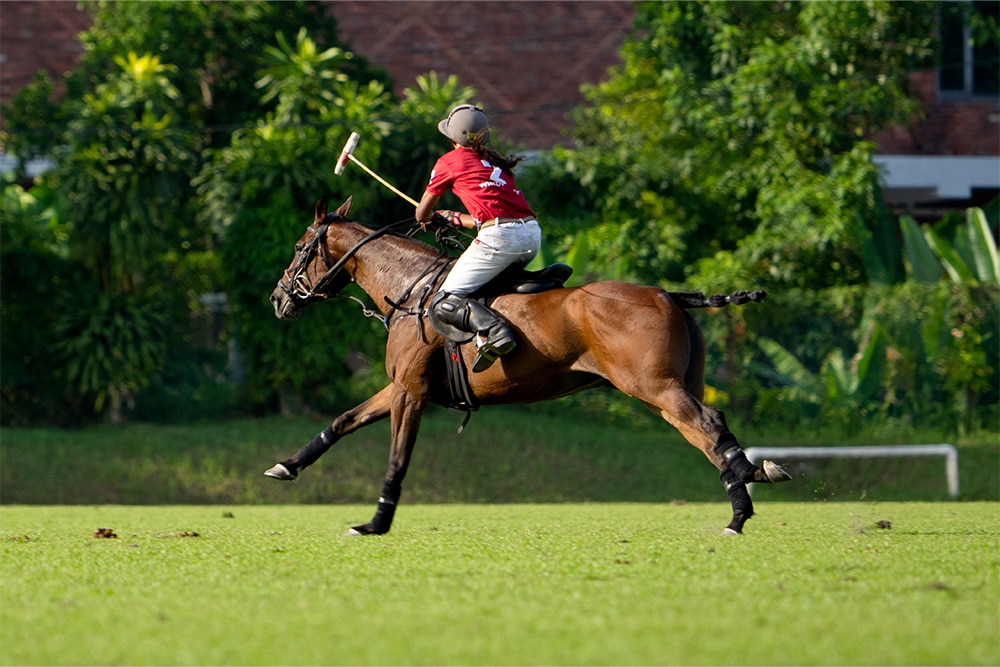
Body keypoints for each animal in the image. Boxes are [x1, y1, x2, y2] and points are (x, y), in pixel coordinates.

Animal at [266, 196, 788, 536]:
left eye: (299, 246)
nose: (277, 298)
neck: (411, 289)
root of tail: (669, 294)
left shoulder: (412, 391)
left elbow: (397, 457)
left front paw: (375, 523)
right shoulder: (401, 387)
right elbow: (343, 420)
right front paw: (286, 465)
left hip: (656, 387)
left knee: (709, 422)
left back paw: (744, 501)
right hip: (675, 386)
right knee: (706, 435)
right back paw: (746, 492)